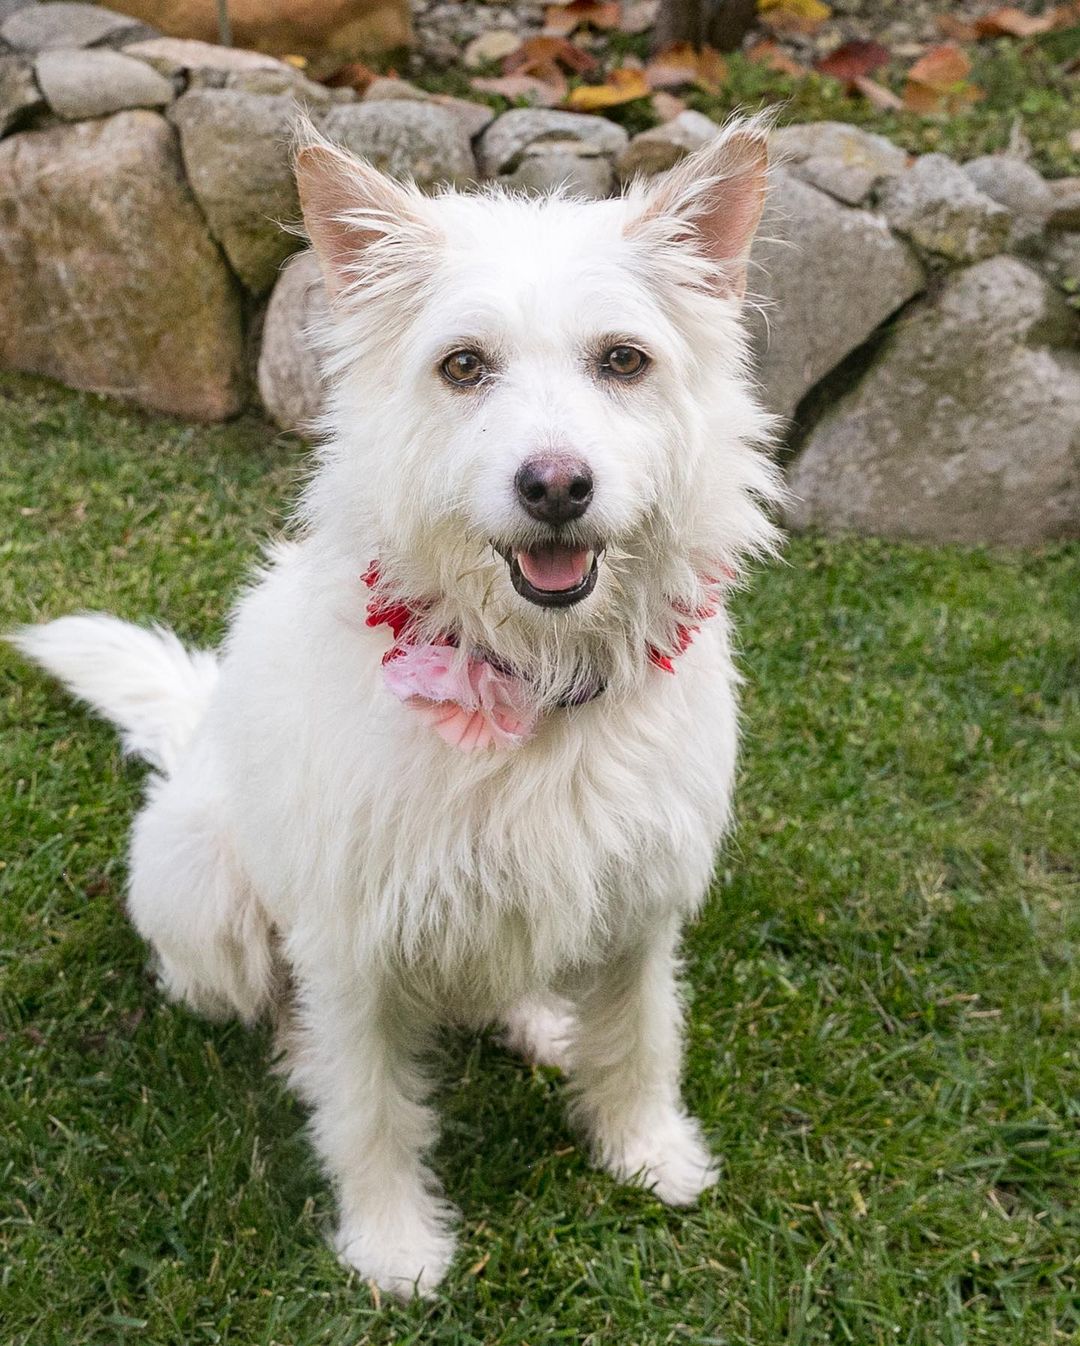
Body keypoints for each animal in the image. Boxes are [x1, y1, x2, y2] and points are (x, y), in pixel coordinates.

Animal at [10, 118, 781, 1302]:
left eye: (623, 359)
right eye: (463, 365)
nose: (555, 485)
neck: (527, 687)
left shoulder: (642, 906)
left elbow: (642, 1036)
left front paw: (648, 1151)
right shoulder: (355, 945)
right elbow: (370, 1108)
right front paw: (392, 1245)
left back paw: (542, 1021)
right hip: (211, 902)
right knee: (265, 1003)